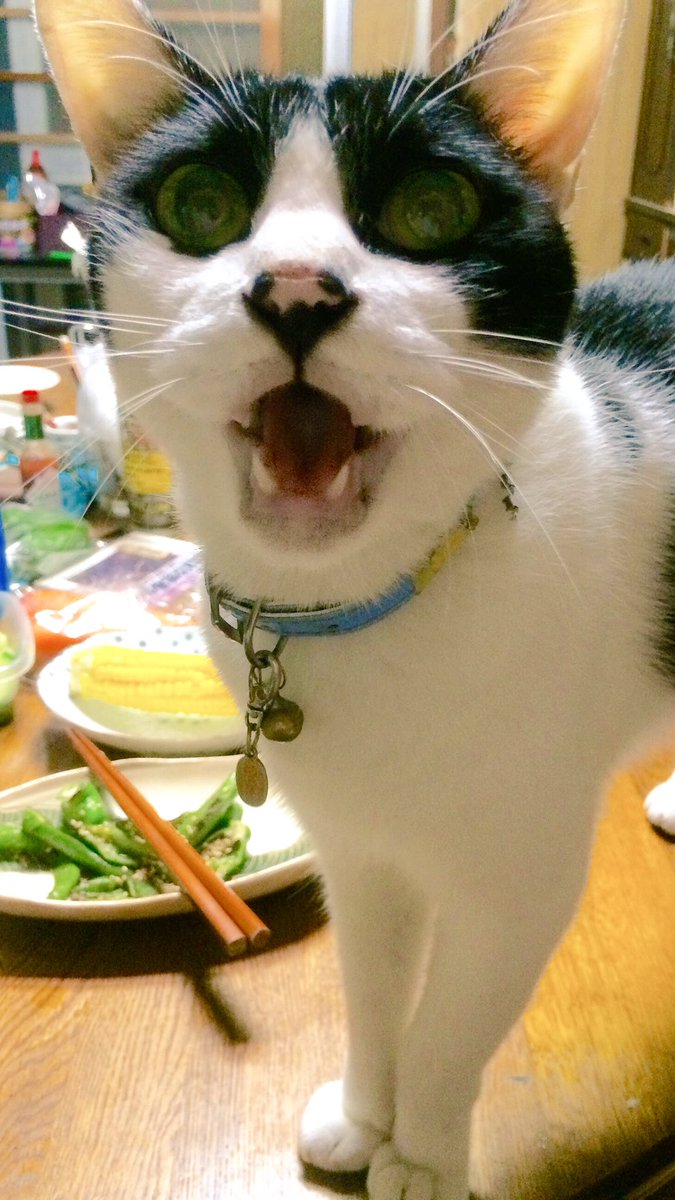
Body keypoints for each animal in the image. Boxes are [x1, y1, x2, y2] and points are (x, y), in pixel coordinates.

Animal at [32, 1, 675, 1197]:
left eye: (433, 209)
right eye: (202, 206)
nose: (296, 289)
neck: (353, 609)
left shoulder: (520, 879)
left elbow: (455, 1024)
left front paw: (420, 1151)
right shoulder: (359, 853)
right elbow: (374, 987)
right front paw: (367, 1114)